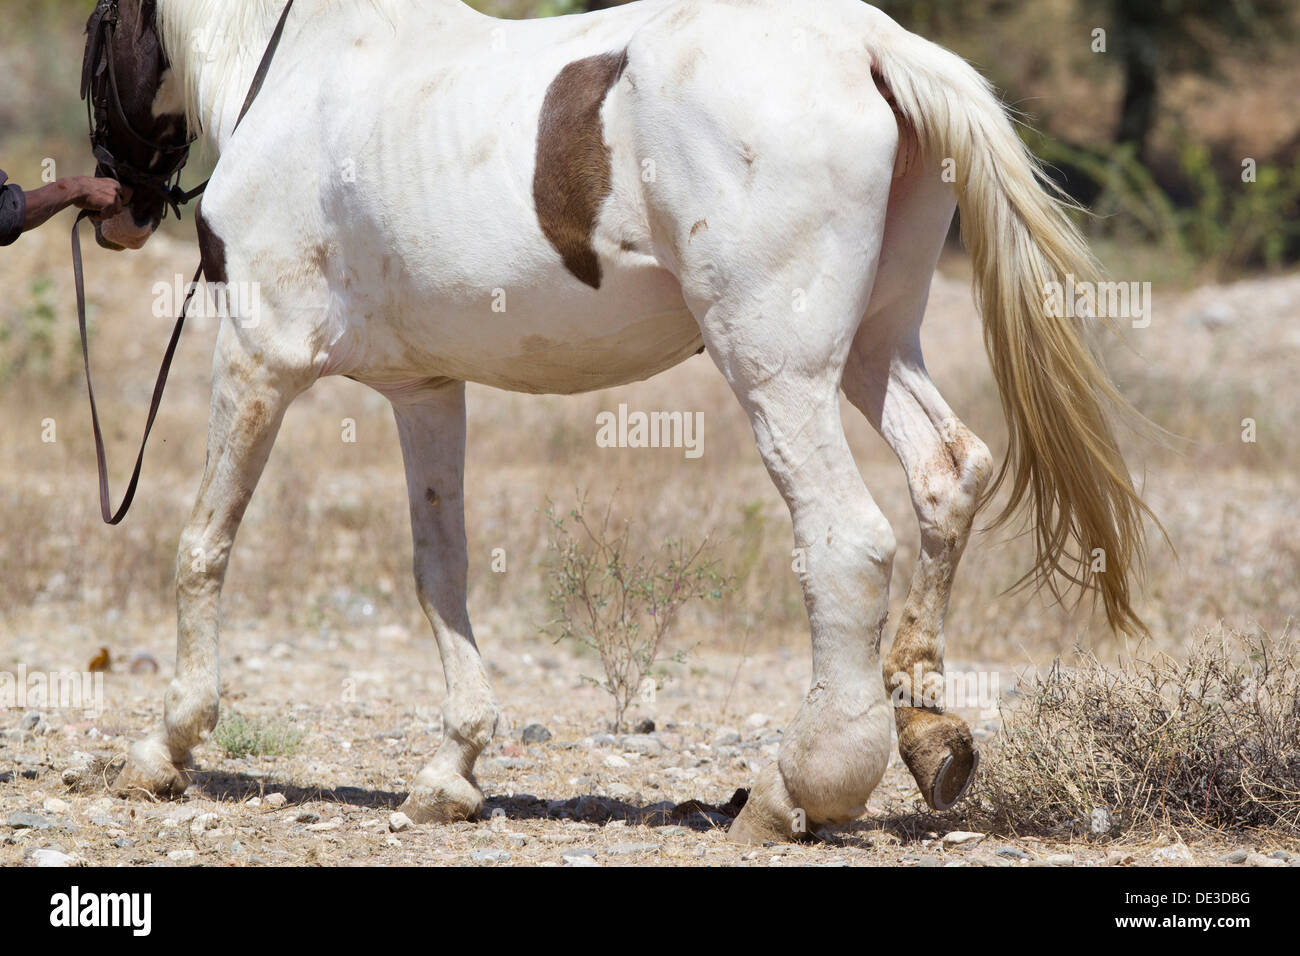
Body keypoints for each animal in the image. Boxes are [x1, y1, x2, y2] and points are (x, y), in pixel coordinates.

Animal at [89, 0, 1149, 842]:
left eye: (100, 27)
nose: (117, 210)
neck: (296, 68)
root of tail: (871, 45)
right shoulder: (426, 390)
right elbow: (440, 570)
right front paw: (451, 772)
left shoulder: (255, 357)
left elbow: (202, 545)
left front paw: (163, 748)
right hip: (873, 348)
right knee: (947, 474)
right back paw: (931, 738)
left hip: (779, 371)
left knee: (847, 541)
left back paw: (795, 788)